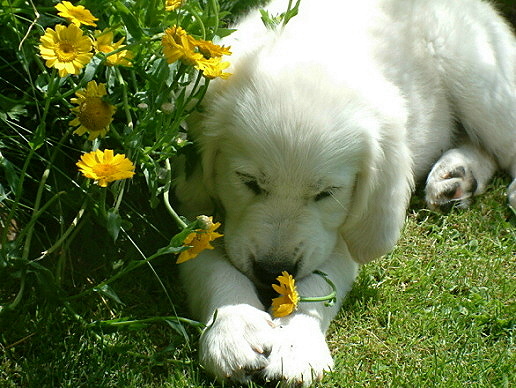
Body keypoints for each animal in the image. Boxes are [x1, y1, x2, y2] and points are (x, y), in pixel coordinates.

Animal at [174, 0, 516, 384]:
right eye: (248, 181)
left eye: (327, 193)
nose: (272, 272)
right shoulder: (193, 207)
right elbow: (205, 263)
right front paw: (234, 327)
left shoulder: (352, 223)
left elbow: (320, 283)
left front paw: (295, 345)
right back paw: (457, 177)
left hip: (478, 83)